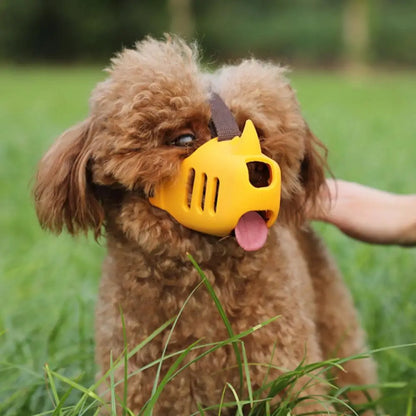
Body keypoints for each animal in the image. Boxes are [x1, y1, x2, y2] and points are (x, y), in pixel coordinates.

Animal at [34, 37, 378, 414]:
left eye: (257, 135)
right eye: (184, 139)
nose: (258, 169)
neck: (203, 276)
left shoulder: (290, 373)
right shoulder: (133, 382)